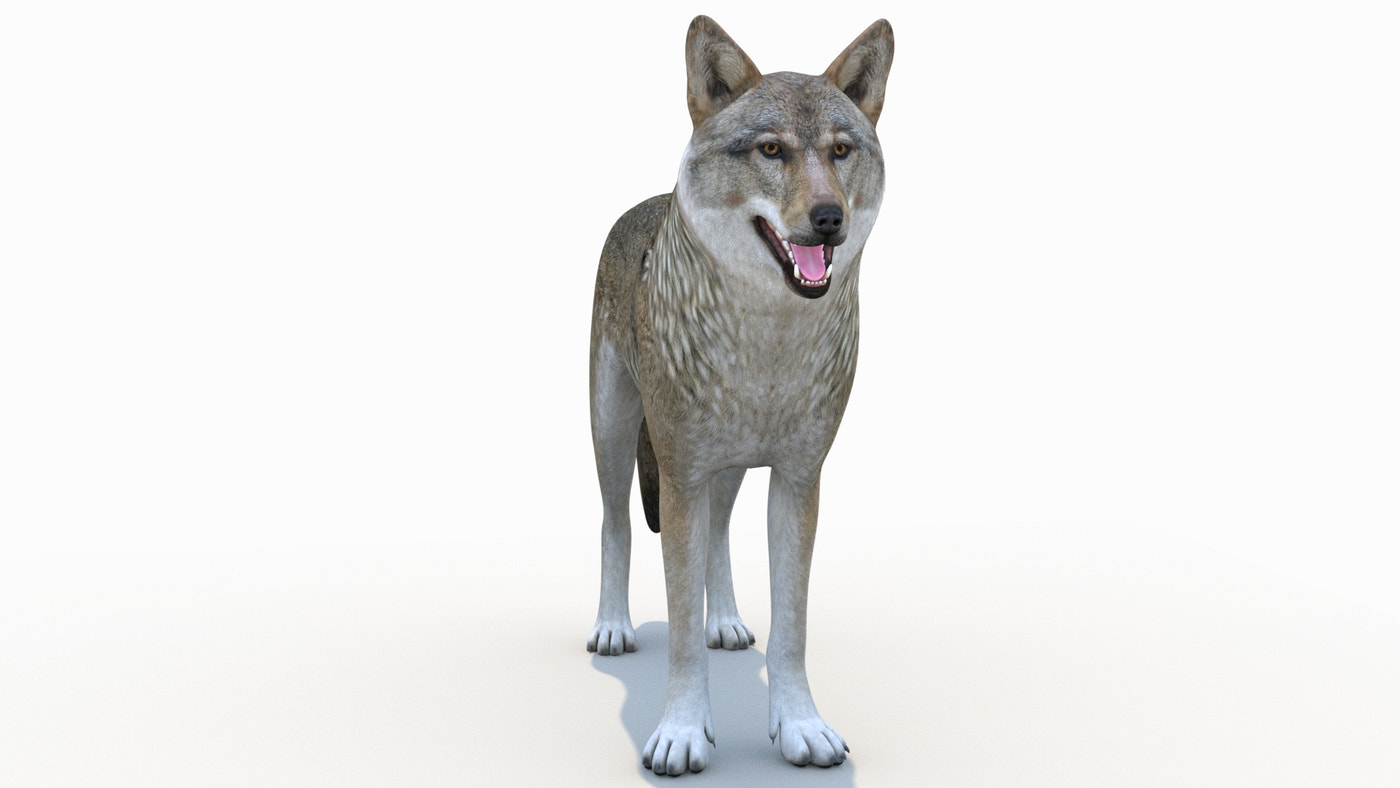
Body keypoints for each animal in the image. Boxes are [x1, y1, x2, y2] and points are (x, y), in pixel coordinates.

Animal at [586, 15, 894, 775]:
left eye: (841, 151)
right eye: (771, 150)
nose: (829, 218)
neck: (767, 344)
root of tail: (645, 204)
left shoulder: (799, 478)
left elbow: (792, 626)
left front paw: (801, 727)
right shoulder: (680, 473)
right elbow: (680, 629)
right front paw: (681, 734)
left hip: (724, 469)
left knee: (720, 534)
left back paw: (724, 620)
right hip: (615, 433)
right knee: (614, 523)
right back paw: (612, 627)